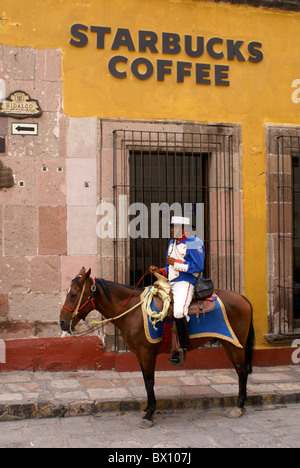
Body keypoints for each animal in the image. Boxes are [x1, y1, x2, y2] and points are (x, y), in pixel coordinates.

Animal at [59, 266, 254, 428]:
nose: (62, 322)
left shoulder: (147, 353)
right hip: (228, 343)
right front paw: (148, 409)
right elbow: (146, 381)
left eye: (74, 295)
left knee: (242, 371)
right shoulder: (140, 354)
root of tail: (243, 298)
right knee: (240, 370)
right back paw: (242, 403)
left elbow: (149, 382)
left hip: (235, 345)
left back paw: (239, 406)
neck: (133, 310)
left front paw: (149, 414)